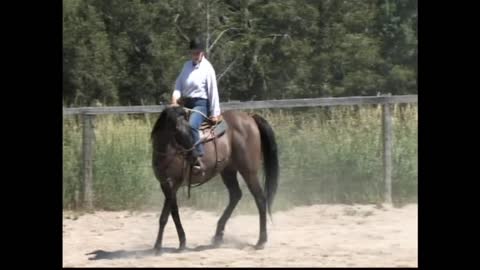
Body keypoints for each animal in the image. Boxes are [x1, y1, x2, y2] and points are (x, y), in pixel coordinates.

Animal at [150, 106, 278, 253]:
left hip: (248, 171)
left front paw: (160, 246)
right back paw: (218, 236)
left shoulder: (174, 183)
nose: (194, 156)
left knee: (260, 199)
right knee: (235, 195)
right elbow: (172, 213)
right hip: (228, 170)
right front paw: (179, 242)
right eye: (176, 129)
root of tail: (250, 117)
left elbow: (166, 216)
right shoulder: (165, 184)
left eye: (190, 129)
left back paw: (261, 240)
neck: (168, 151)